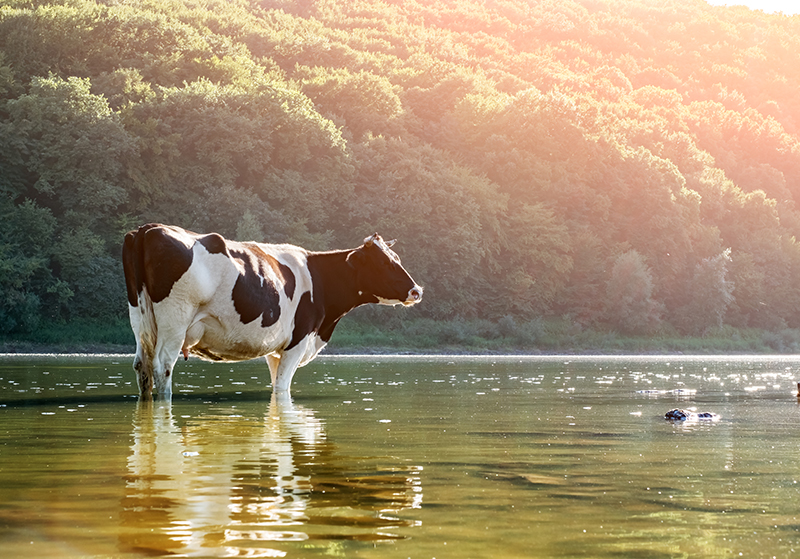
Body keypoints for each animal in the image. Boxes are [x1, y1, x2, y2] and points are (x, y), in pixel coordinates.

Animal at [122, 224, 422, 398]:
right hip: (175, 319)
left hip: (140, 320)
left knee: (142, 367)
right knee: (163, 366)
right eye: (383, 263)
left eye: (396, 258)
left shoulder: (275, 349)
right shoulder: (297, 341)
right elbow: (282, 388)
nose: (417, 290)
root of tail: (149, 228)